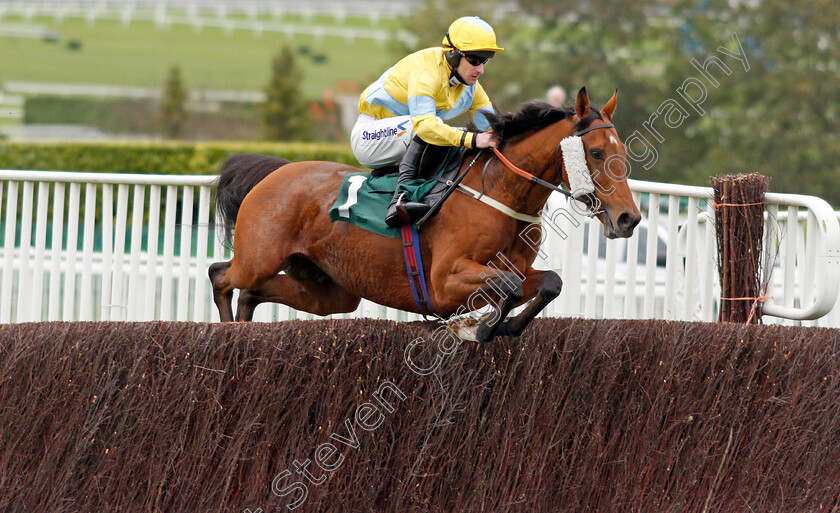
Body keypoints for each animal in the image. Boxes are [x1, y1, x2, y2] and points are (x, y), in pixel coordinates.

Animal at [208, 87, 636, 344]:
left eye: (623, 152)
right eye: (596, 152)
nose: (628, 219)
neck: (497, 192)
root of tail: (277, 171)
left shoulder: (514, 268)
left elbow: (548, 283)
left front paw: (507, 326)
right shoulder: (444, 282)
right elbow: (509, 286)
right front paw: (477, 329)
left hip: (329, 289)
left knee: (253, 292)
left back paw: (240, 332)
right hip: (259, 257)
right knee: (221, 275)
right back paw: (225, 332)